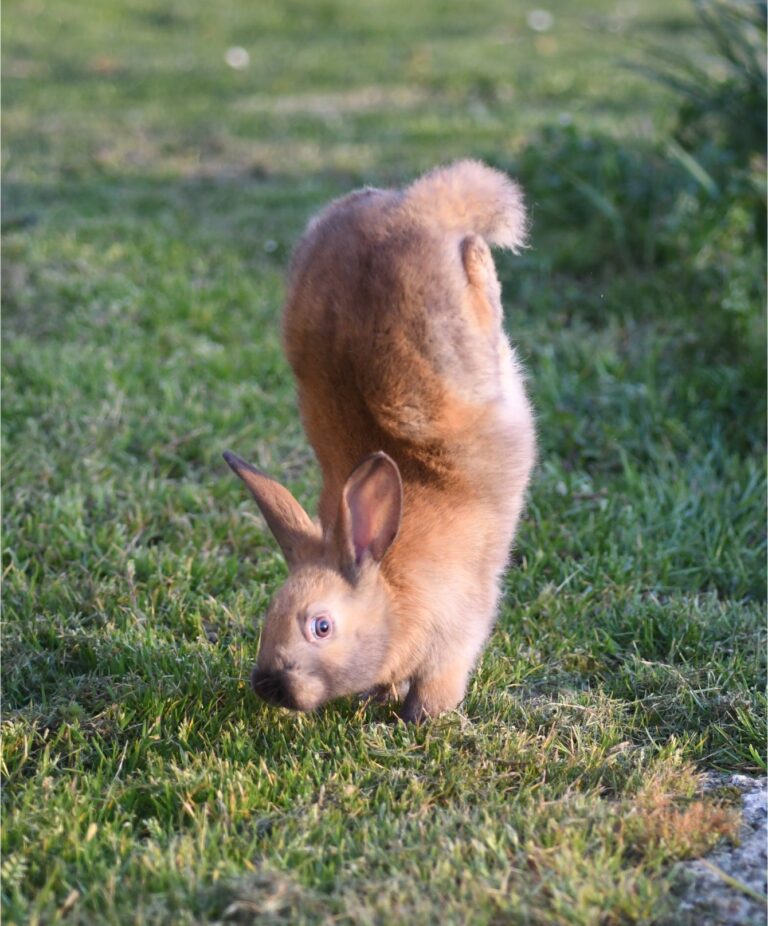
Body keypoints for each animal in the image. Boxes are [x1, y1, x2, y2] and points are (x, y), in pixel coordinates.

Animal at [224, 160, 536, 722]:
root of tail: (413, 209)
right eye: (269, 613)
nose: (268, 686)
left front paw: (420, 720)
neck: (391, 592)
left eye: (321, 626)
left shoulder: (454, 644)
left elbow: (437, 686)